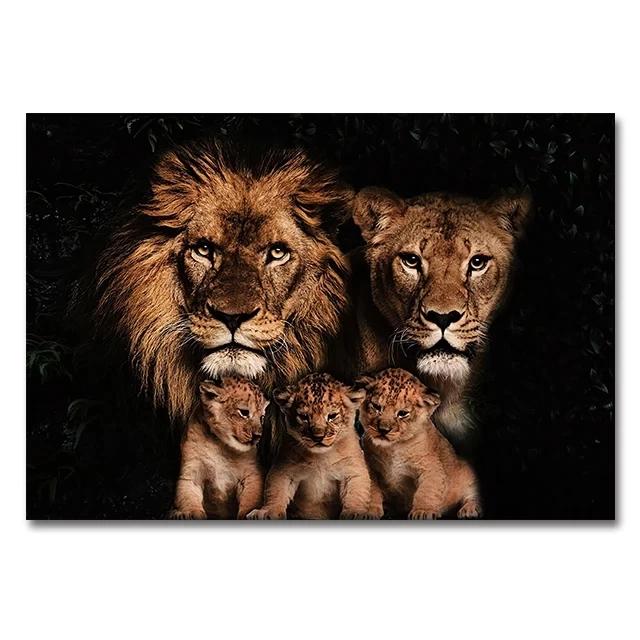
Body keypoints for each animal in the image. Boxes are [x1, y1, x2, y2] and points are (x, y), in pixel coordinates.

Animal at [358, 368, 482, 519]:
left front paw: (423, 511)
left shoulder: (430, 467)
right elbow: (371, 490)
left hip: (469, 476)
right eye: (376, 406)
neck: (393, 448)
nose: (383, 430)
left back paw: (469, 509)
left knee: (472, 495)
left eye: (402, 413)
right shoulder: (370, 468)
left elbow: (426, 491)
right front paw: (367, 511)